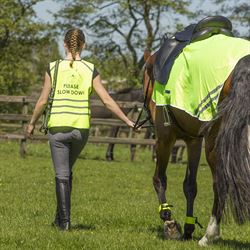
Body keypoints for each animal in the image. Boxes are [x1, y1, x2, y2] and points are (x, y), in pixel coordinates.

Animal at [142, 41, 250, 244]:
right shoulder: (193, 141)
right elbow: (190, 185)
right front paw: (188, 227)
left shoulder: (165, 139)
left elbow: (159, 179)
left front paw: (169, 222)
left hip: (216, 143)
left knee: (221, 184)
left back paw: (209, 235)